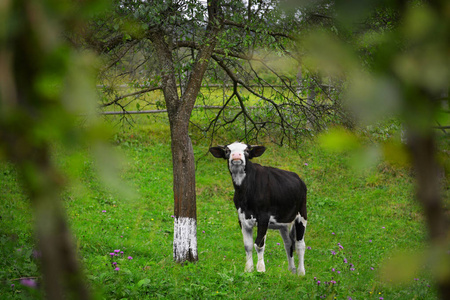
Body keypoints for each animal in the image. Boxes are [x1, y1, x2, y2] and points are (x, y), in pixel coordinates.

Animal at [210, 142, 308, 276]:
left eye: (246, 150)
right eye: (227, 150)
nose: (236, 156)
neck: (245, 191)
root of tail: (299, 178)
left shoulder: (263, 217)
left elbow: (259, 244)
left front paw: (261, 269)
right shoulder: (242, 218)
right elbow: (248, 245)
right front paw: (248, 269)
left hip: (302, 215)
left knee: (300, 244)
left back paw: (301, 272)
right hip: (282, 222)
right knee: (288, 244)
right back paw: (291, 270)